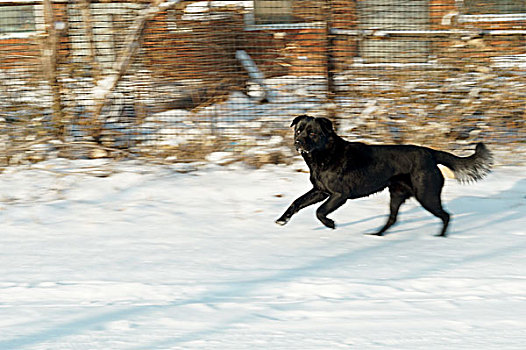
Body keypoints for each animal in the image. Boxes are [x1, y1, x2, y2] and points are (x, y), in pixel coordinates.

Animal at [276, 116, 496, 237]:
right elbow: (296, 202)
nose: (297, 142)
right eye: (298, 130)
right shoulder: (320, 191)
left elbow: (320, 212)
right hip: (397, 194)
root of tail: (430, 153)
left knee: (446, 215)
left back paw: (440, 237)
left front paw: (330, 224)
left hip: (426, 195)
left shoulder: (339, 195)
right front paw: (282, 219)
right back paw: (377, 234)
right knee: (393, 218)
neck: (323, 156)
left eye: (312, 133)